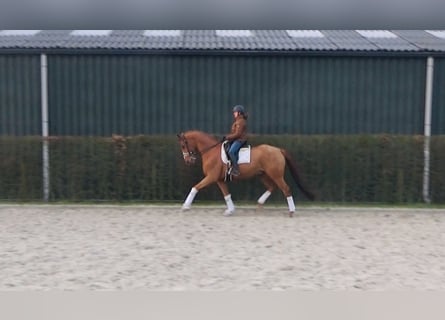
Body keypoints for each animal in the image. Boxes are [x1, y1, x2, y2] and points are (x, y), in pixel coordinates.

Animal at [175, 131, 314, 218]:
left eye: (183, 145)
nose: (188, 161)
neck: (211, 150)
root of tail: (278, 150)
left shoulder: (211, 177)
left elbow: (195, 187)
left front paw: (185, 206)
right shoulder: (219, 180)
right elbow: (227, 195)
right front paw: (230, 211)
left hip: (276, 175)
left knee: (285, 189)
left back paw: (291, 211)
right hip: (263, 175)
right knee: (271, 187)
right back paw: (259, 203)